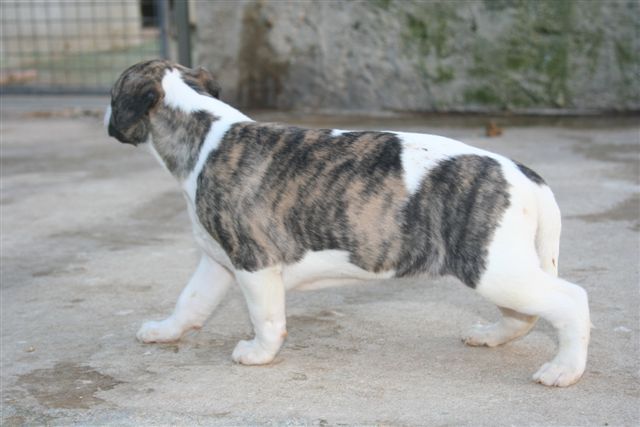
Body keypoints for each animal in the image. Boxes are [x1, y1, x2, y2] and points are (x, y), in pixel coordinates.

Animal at [105, 59, 590, 387]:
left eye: (112, 97)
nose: (105, 119)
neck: (204, 132)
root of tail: (525, 176)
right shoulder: (218, 261)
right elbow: (190, 302)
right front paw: (165, 331)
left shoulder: (255, 263)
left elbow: (266, 317)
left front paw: (259, 354)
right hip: (503, 268)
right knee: (524, 314)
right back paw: (492, 336)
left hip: (493, 269)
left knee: (570, 301)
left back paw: (564, 368)